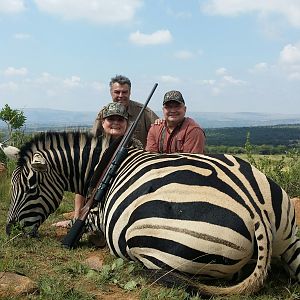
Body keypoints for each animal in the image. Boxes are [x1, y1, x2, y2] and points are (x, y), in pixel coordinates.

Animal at [5, 131, 300, 296]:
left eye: (30, 187)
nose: (10, 231)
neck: (103, 166)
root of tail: (255, 211)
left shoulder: (97, 216)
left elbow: (80, 223)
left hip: (151, 241)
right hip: (289, 237)